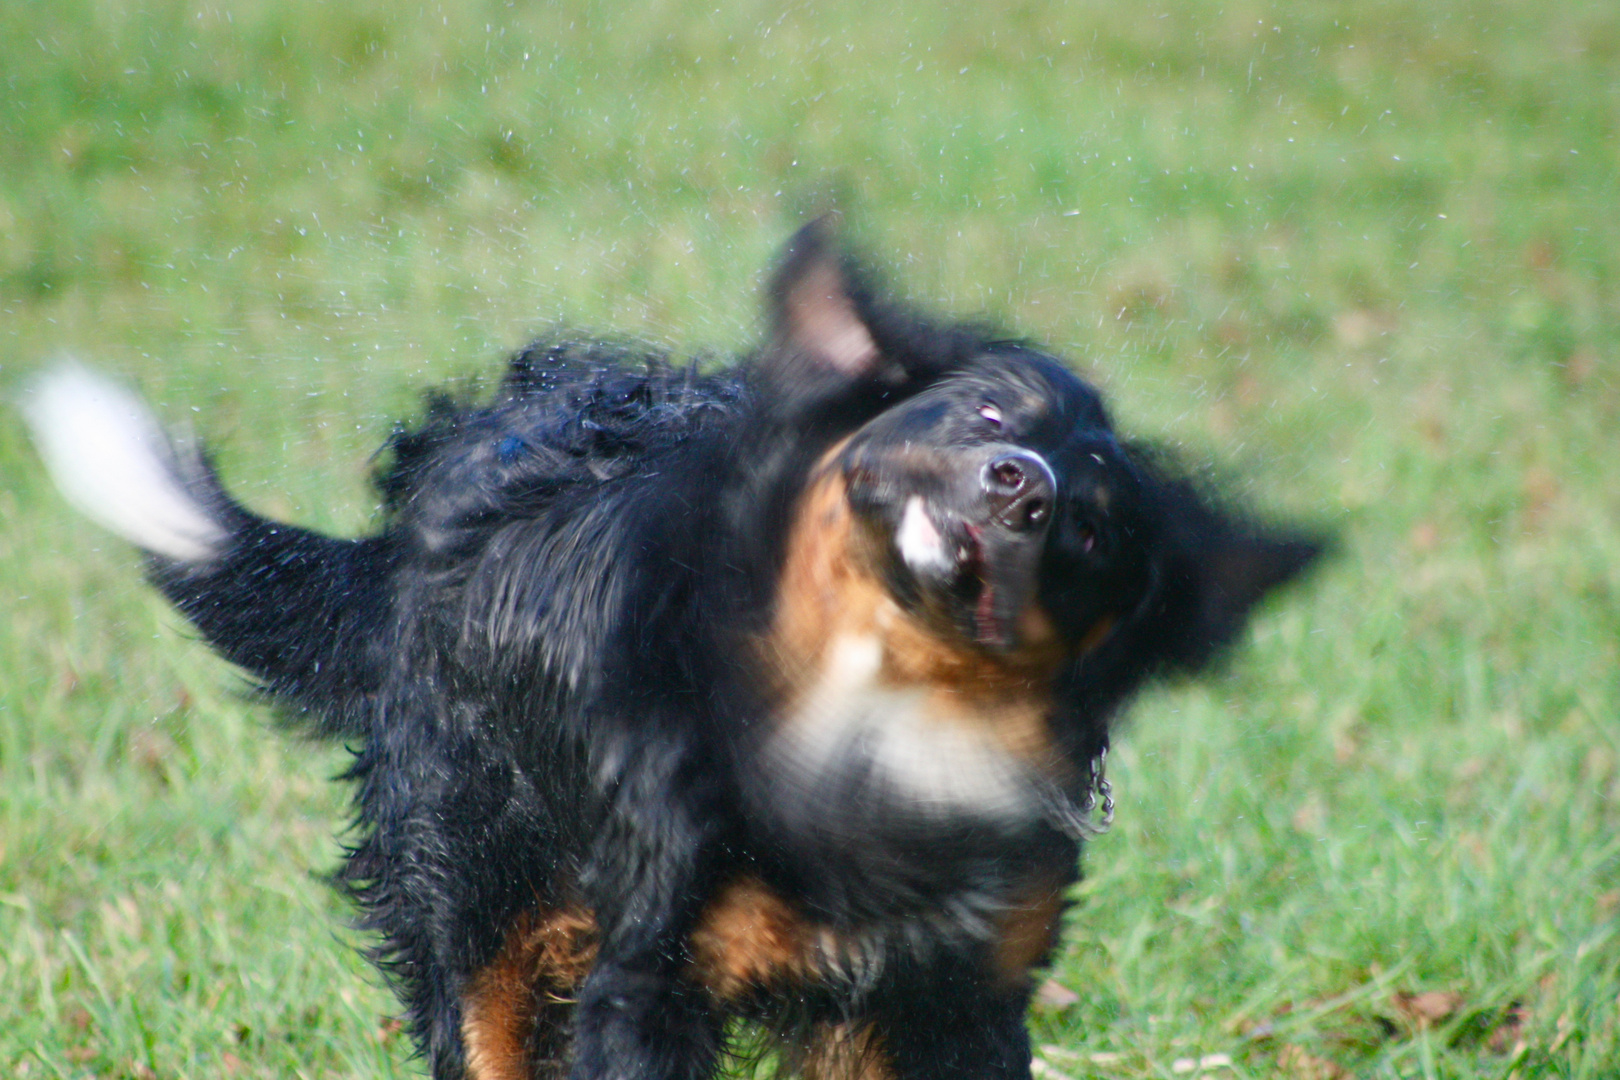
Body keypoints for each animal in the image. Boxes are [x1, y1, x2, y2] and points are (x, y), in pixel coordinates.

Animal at [22, 221, 1315, 1080]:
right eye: (988, 411)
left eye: (1096, 525)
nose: (1022, 490)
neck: (878, 726)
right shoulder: (651, 979)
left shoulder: (950, 998)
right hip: (477, 909)